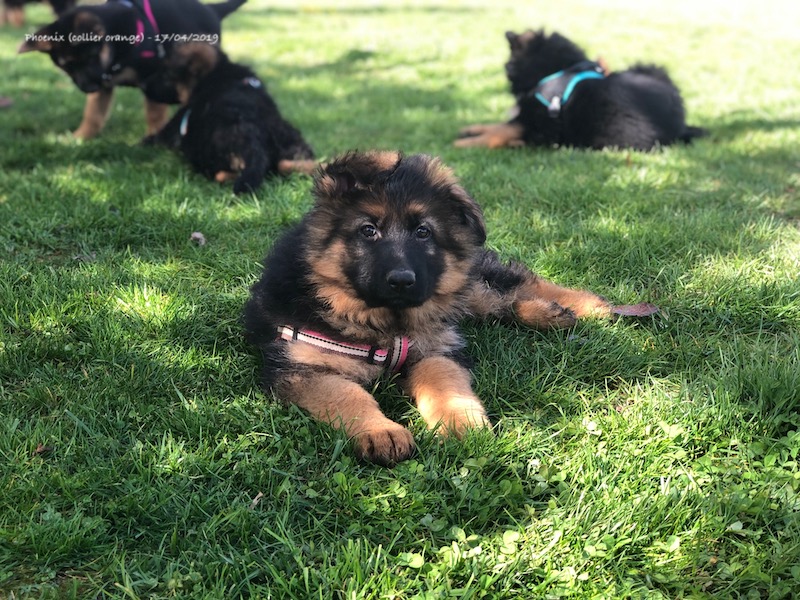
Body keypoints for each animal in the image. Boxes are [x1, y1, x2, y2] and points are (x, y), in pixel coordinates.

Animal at [17, 0, 247, 140]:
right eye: (65, 66)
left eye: (90, 56)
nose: (87, 88)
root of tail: (213, 9)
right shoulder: (104, 84)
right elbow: (93, 113)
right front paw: (80, 137)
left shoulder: (151, 78)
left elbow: (154, 112)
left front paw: (153, 136)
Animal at [144, 43, 316, 194]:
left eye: (165, 73)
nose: (144, 85)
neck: (219, 72)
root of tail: (253, 140)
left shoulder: (173, 128)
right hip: (292, 140)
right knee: (289, 164)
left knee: (221, 175)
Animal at [243, 151, 613, 466]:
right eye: (368, 230)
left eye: (423, 232)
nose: (402, 281)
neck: (383, 324)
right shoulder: (302, 367)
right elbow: (346, 394)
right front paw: (381, 431)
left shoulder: (435, 349)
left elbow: (443, 381)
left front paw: (460, 423)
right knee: (505, 301)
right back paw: (553, 313)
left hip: (461, 285)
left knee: (513, 283)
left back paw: (586, 306)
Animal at [456, 29, 706, 151]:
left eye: (507, 66)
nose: (508, 81)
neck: (559, 69)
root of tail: (682, 125)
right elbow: (498, 124)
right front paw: (471, 129)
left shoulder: (536, 122)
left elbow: (500, 130)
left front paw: (466, 143)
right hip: (651, 68)